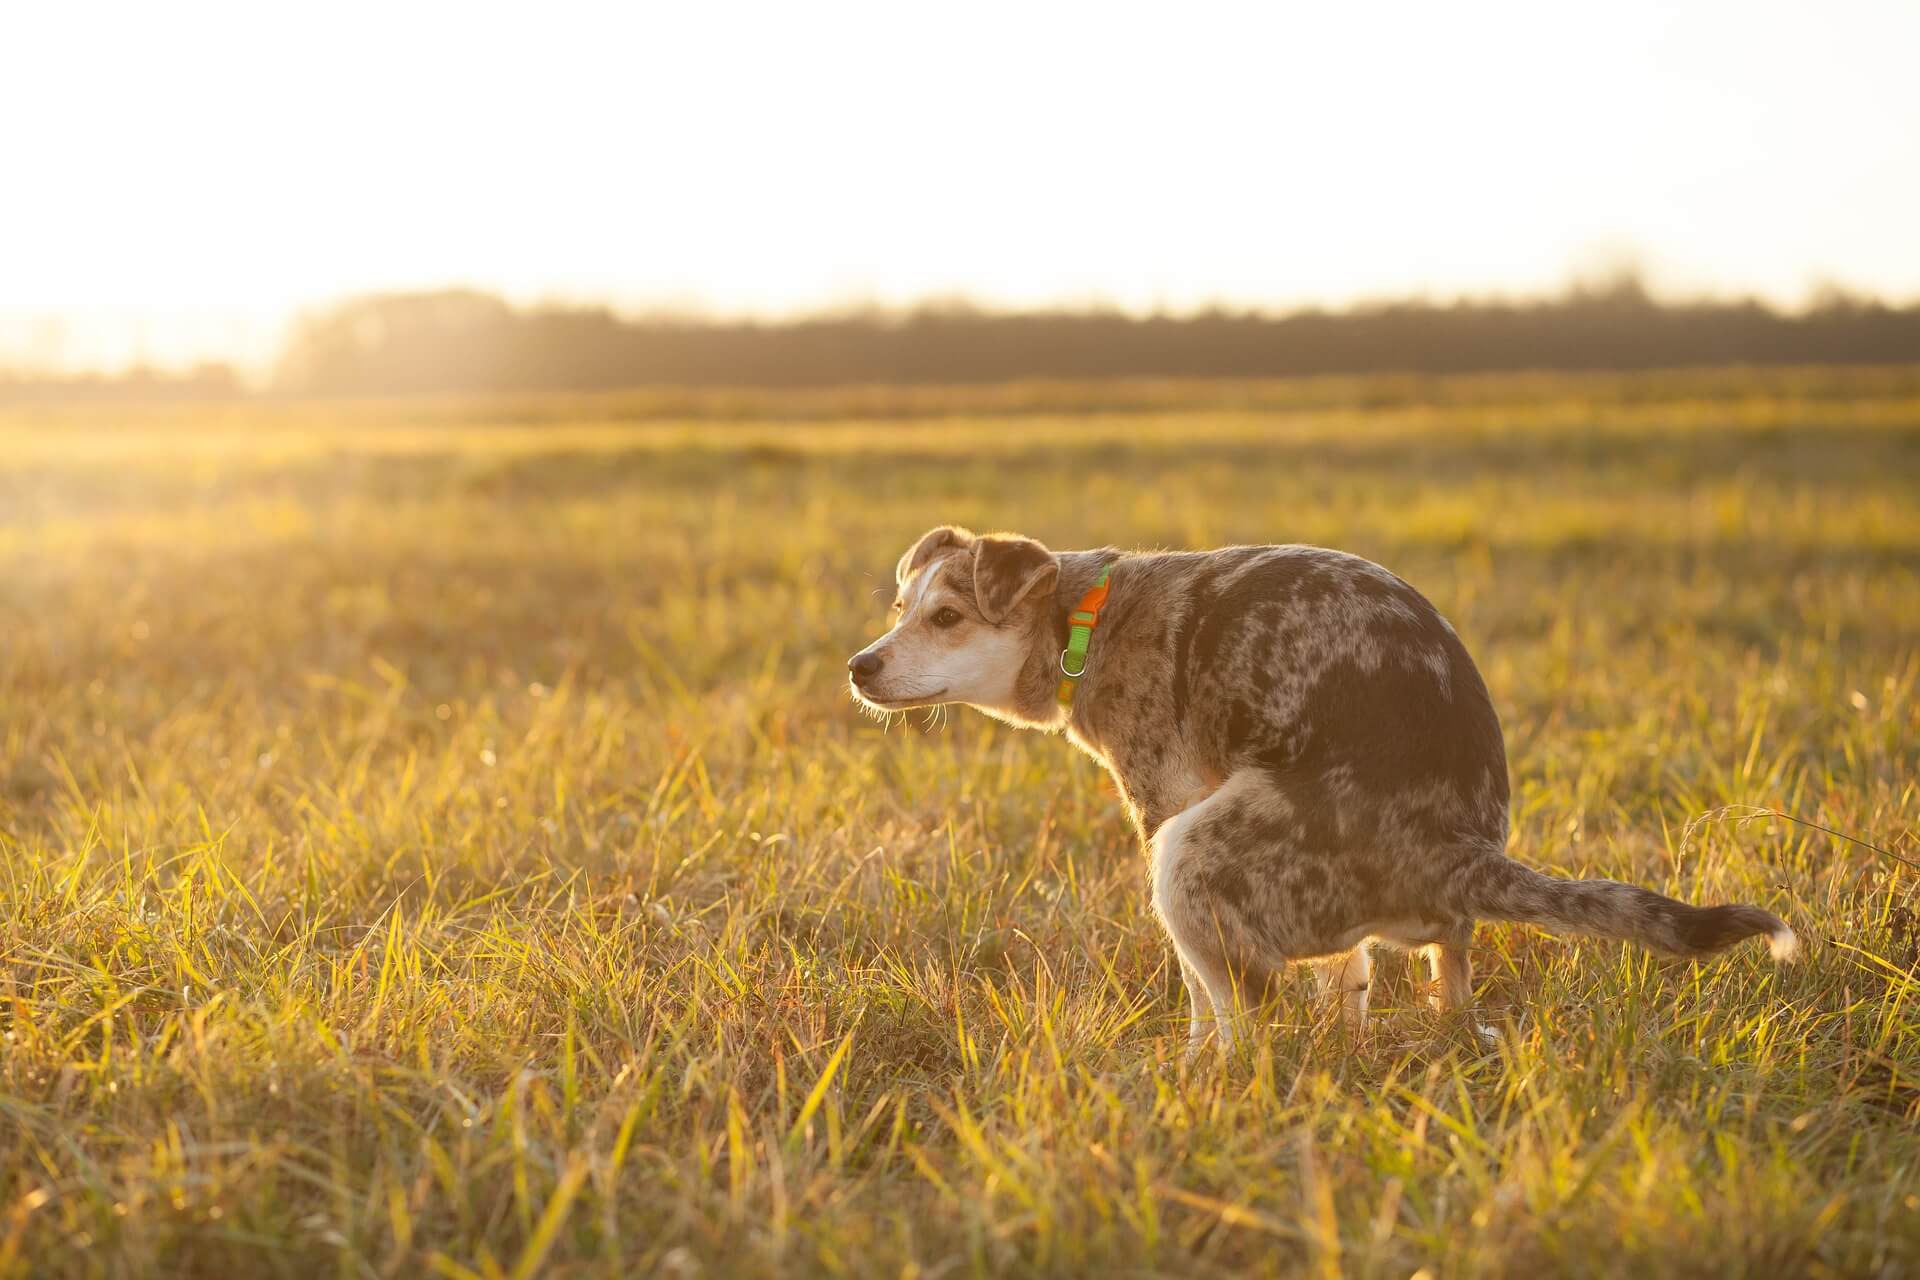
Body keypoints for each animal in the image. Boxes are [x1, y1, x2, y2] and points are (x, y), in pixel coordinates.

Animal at [848, 529, 1789, 1051]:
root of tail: (1461, 851)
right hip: (1407, 924)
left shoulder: (1163, 804)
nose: (859, 666)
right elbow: (1350, 977)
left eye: (946, 618)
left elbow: (1201, 996)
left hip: (1189, 853)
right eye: (898, 608)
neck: (1086, 619)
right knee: (1441, 976)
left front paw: (1191, 1064)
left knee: (1248, 1016)